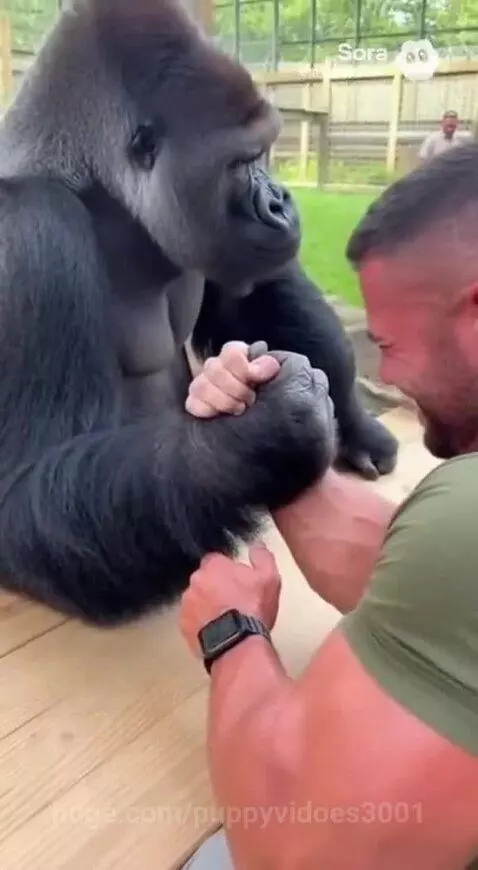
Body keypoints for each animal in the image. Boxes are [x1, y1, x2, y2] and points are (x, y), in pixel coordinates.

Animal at [0, 0, 397, 625]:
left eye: (264, 152)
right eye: (241, 162)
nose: (281, 202)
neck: (95, 185)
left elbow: (253, 297)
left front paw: (356, 426)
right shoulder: (27, 233)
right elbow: (22, 486)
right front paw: (265, 435)